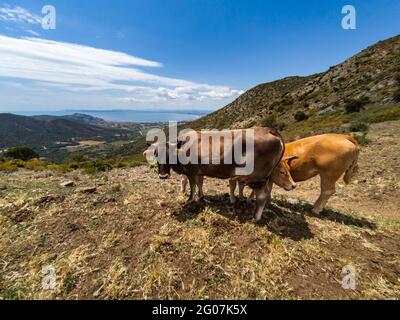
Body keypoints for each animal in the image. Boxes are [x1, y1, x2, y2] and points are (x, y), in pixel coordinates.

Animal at [148, 126, 286, 221]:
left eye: (169, 155)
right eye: (155, 154)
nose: (163, 175)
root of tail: (267, 130)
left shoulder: (191, 171)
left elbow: (193, 186)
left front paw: (190, 199)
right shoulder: (200, 171)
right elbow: (200, 184)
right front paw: (201, 196)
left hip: (259, 176)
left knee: (262, 195)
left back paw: (256, 217)